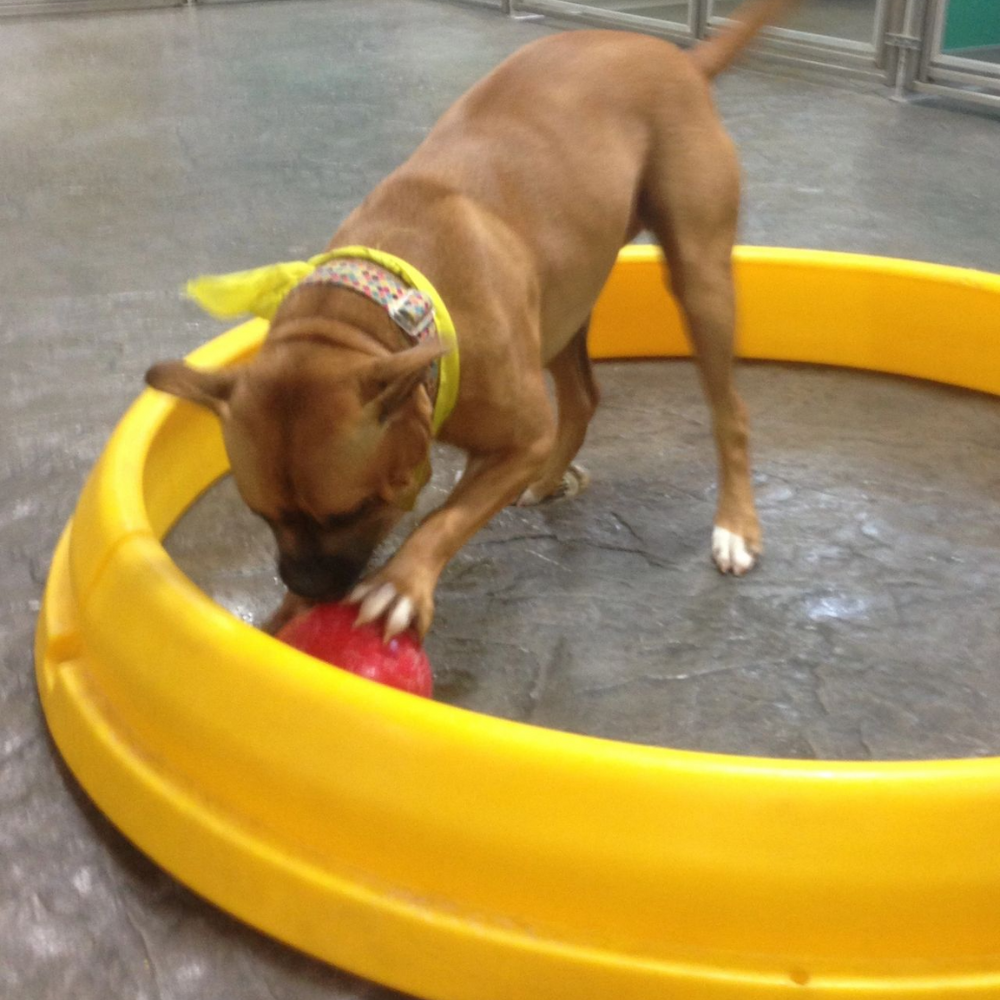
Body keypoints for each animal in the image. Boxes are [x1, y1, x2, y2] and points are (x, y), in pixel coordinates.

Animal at [147, 0, 794, 640]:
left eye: (353, 510)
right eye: (261, 514)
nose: (310, 588)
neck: (384, 310)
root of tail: (679, 59)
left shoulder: (519, 440)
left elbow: (447, 515)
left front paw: (401, 584)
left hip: (700, 280)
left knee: (728, 412)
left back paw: (735, 525)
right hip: (562, 305)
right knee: (582, 398)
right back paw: (550, 478)